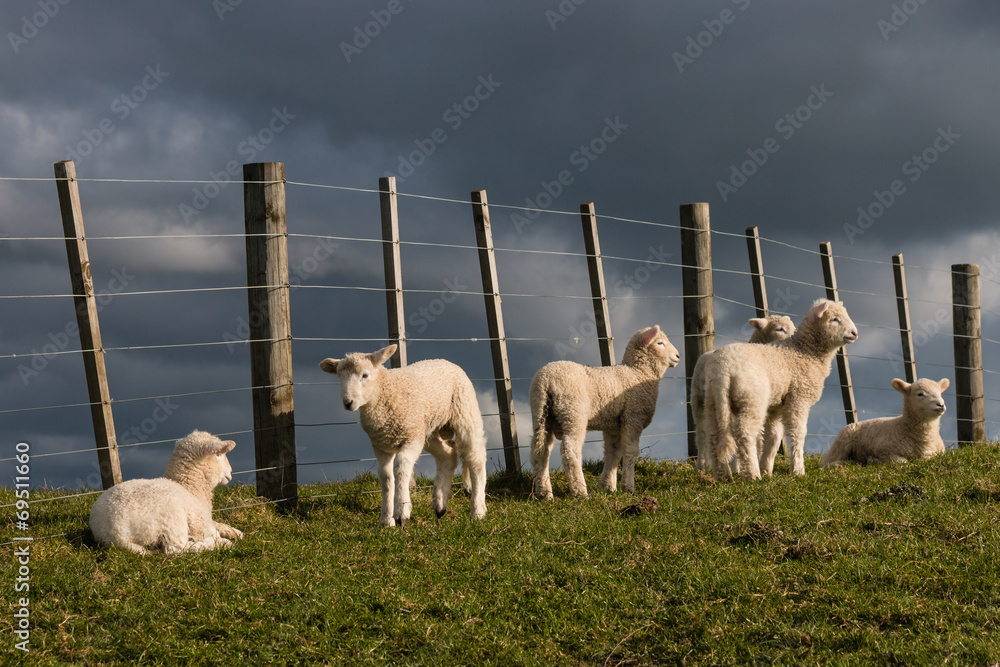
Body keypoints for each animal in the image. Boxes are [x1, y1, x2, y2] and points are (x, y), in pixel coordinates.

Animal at [89, 430, 243, 554]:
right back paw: (212, 544)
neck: (190, 488)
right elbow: (213, 532)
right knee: (175, 548)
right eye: (219, 455)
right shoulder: (199, 520)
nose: (231, 472)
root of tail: (115, 534)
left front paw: (234, 532)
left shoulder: (205, 519)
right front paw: (223, 540)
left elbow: (218, 524)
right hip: (171, 515)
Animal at [318, 344, 487, 526]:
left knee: (476, 458)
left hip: (464, 412)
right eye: (340, 377)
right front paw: (386, 519)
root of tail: (445, 361)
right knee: (448, 455)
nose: (348, 403)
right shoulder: (381, 446)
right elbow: (386, 478)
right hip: (427, 429)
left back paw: (477, 511)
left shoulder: (410, 438)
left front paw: (401, 512)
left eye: (365, 375)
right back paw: (440, 505)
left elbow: (401, 467)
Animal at [529, 325, 681, 499]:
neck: (638, 372)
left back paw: (544, 494)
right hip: (573, 413)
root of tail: (547, 380)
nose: (678, 356)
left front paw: (608, 487)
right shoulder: (633, 418)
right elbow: (630, 452)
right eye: (660, 343)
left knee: (540, 451)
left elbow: (613, 452)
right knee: (570, 450)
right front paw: (628, 487)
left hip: (540, 413)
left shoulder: (613, 425)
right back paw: (580, 492)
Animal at [820, 377, 949, 467]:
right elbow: (902, 461)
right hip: (841, 444)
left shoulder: (937, 454)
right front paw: (874, 460)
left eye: (940, 393)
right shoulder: (883, 450)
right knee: (826, 463)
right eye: (920, 394)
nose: (941, 405)